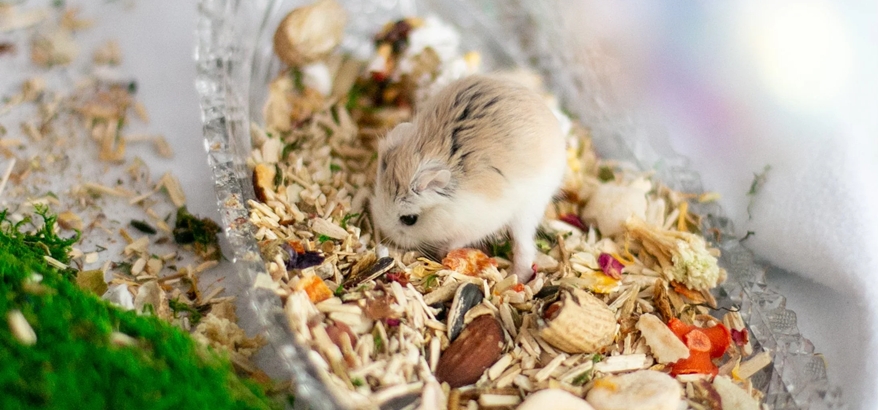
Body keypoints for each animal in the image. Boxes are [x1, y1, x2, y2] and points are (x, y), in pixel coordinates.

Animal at [371, 74, 566, 283]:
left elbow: (460, 239)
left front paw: (443, 250)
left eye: (409, 219)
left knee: (525, 246)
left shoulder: (479, 223)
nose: (387, 236)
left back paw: (517, 277)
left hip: (529, 208)